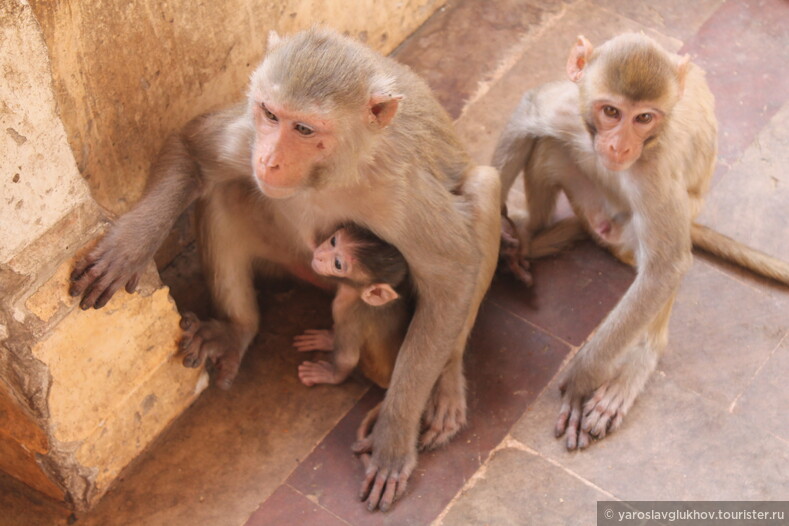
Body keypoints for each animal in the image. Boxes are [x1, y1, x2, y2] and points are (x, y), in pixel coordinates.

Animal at [290, 224, 412, 392]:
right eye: (334, 241)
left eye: (338, 264)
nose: (320, 254)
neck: (356, 296)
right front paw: (328, 338)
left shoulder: (348, 317)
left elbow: (348, 359)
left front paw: (330, 376)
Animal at [492, 34, 788, 454]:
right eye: (611, 111)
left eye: (644, 119)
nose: (619, 147)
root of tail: (598, 228)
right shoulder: (569, 108)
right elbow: (528, 112)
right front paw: (487, 237)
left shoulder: (655, 169)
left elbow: (666, 267)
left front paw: (584, 377)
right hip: (586, 202)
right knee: (548, 149)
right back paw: (524, 242)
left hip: (634, 232)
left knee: (664, 259)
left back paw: (638, 360)